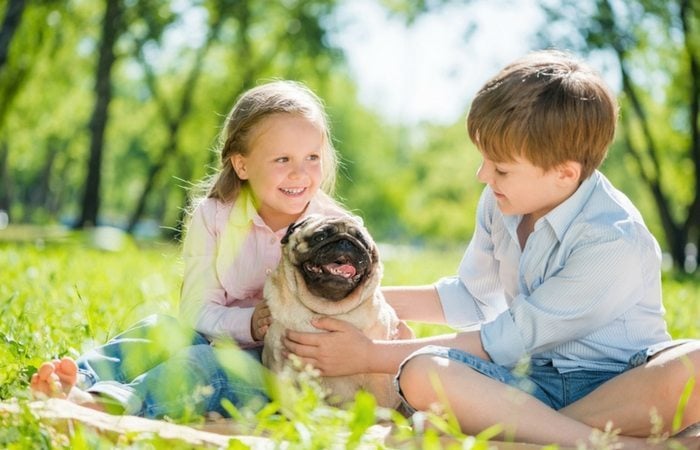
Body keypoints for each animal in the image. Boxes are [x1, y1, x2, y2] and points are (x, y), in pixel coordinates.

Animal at [262, 214, 402, 408]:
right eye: (319, 237)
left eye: (362, 242)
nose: (345, 242)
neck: (325, 308)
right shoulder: (280, 366)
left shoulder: (377, 379)